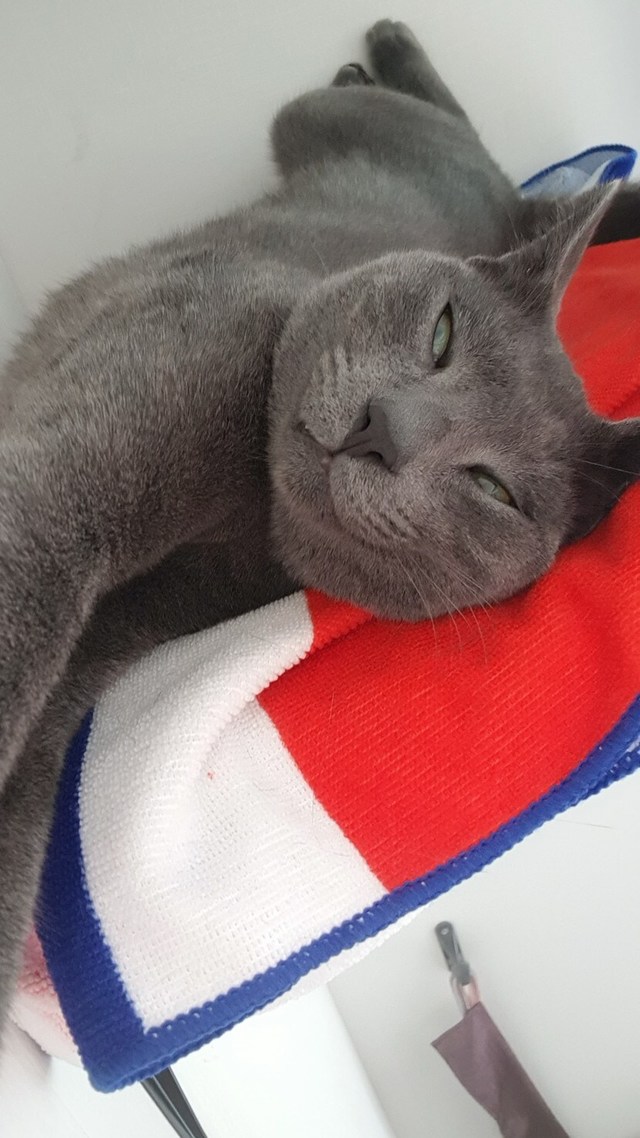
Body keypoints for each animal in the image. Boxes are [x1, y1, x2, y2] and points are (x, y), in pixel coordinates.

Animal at [0, 18, 639, 1035]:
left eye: (495, 490)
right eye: (442, 335)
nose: (385, 428)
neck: (242, 504)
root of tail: (500, 208)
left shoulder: (122, 616)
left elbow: (27, 776)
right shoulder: (76, 497)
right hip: (318, 124)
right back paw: (384, 50)